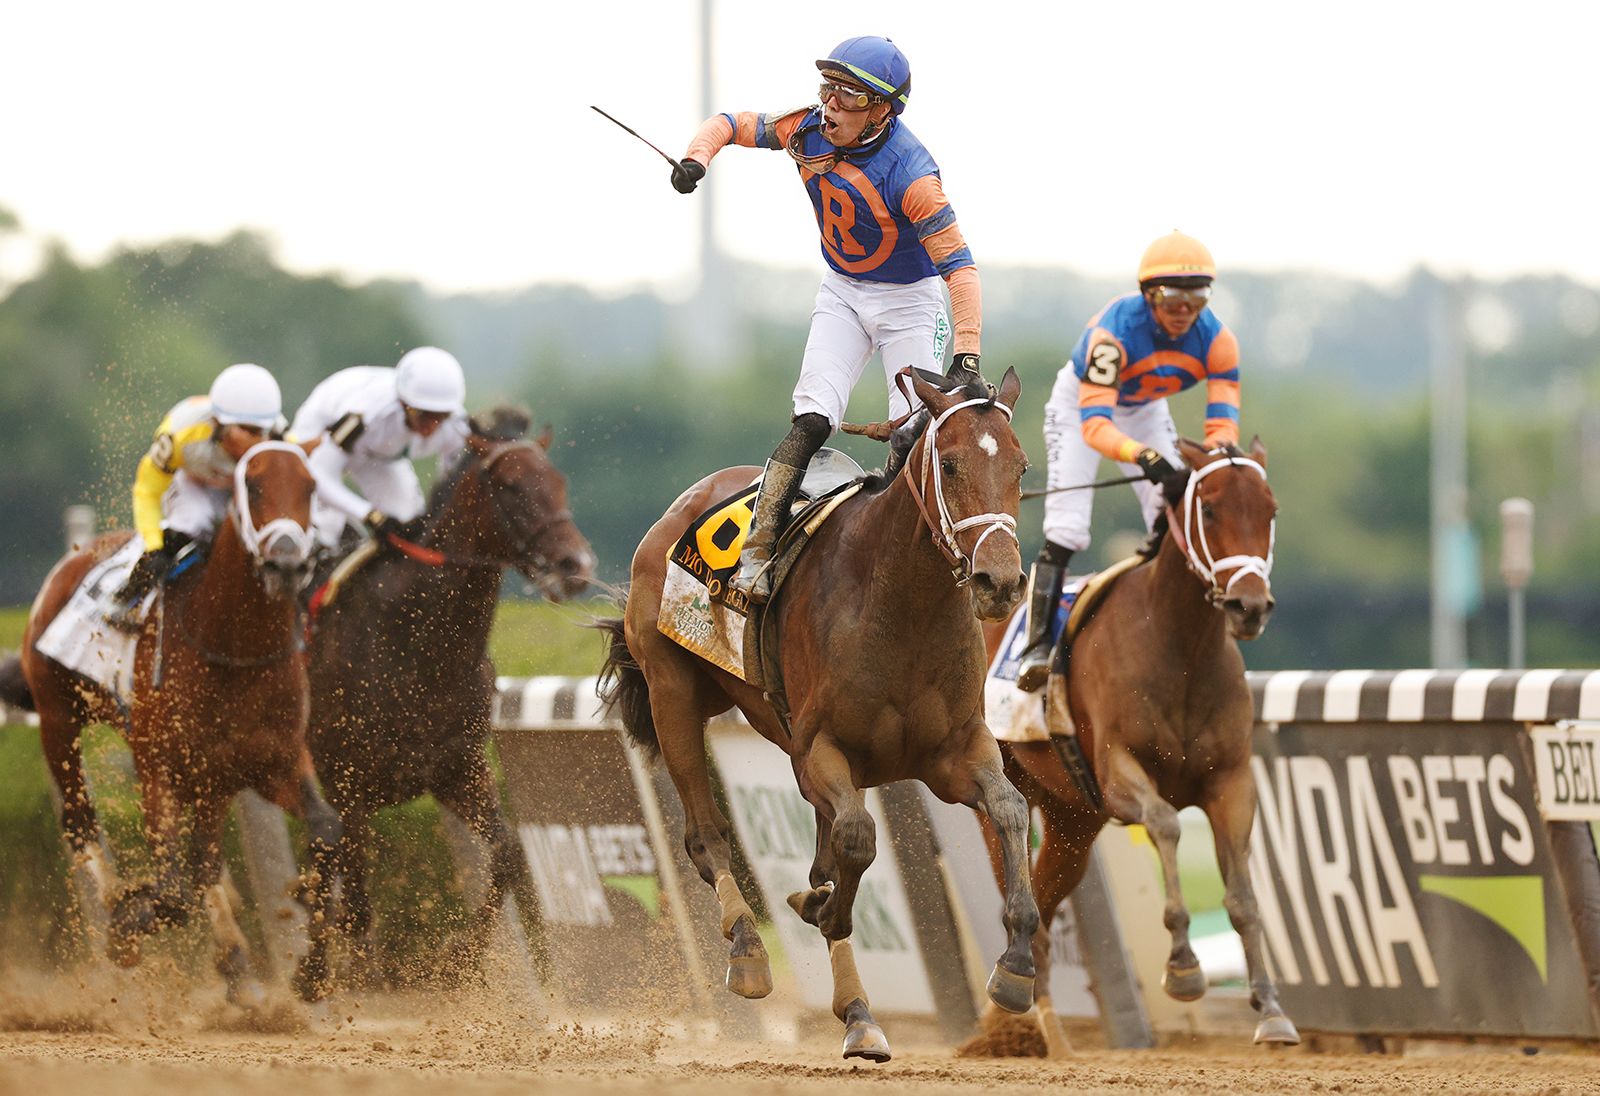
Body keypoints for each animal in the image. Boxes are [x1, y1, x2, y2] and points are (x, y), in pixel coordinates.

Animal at [10, 441, 337, 1004]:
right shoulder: (159, 763)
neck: (232, 650)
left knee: (205, 861)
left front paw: (314, 969)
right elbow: (171, 891)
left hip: (209, 778)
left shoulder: (271, 761)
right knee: (80, 822)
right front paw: (127, 921)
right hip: (58, 720)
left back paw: (235, 962)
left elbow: (327, 832)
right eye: (252, 485)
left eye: (311, 485)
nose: (287, 562)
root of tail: (73, 556)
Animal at [297, 409, 598, 998]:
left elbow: (508, 853)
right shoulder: (346, 777)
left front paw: (458, 958)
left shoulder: (457, 767)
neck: (417, 642)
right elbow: (353, 888)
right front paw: (349, 969)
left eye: (559, 482)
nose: (574, 565)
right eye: (510, 485)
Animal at [598, 368, 1036, 1062]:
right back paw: (752, 950)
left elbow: (1011, 809)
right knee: (706, 836)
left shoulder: (956, 753)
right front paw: (823, 911)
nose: (1000, 583)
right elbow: (857, 839)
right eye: (950, 463)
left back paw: (854, 1004)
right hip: (673, 695)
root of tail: (682, 503)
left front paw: (1017, 962)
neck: (903, 606)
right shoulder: (819, 751)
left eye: (1021, 466)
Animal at [972, 435, 1299, 1049]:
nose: (1249, 606)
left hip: (1075, 819)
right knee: (1018, 896)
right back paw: (1023, 1010)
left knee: (1046, 901)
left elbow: (1243, 895)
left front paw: (1270, 1008)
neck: (1181, 649)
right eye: (1209, 509)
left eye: (1270, 510)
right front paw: (1184, 965)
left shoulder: (1231, 782)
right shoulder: (1119, 773)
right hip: (1003, 793)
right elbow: (1166, 824)